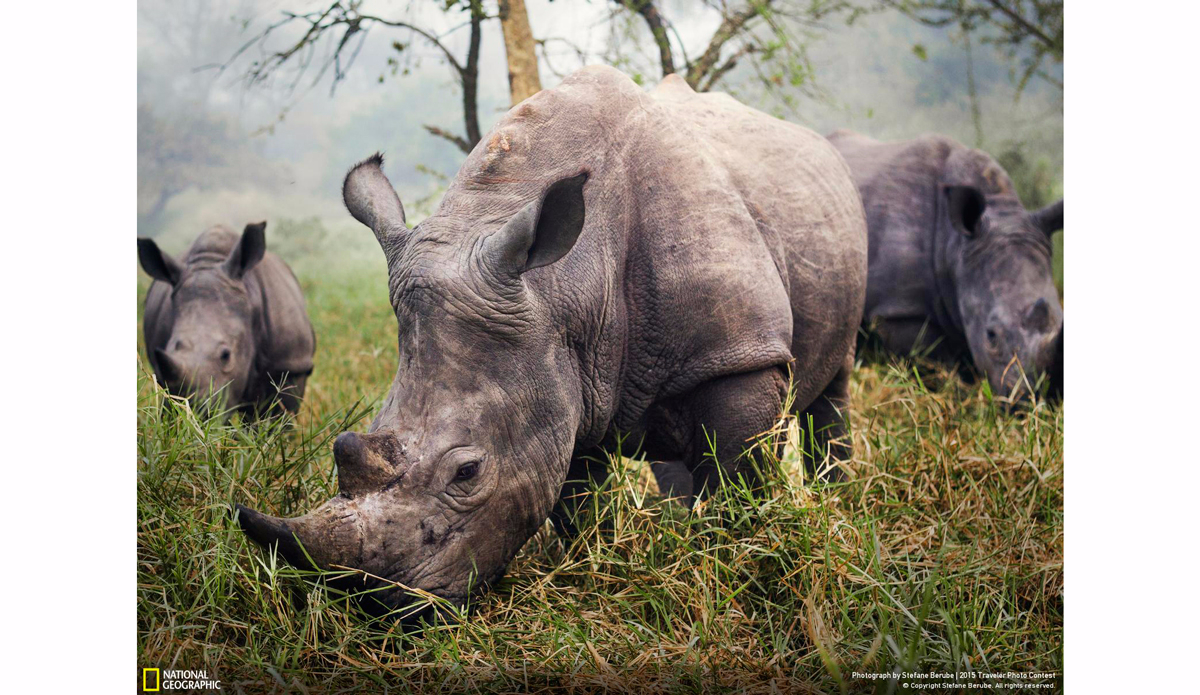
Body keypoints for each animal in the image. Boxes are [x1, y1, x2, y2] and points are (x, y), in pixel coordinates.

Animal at [236, 66, 867, 620]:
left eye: (467, 473)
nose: (382, 608)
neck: (564, 285)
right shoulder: (565, 373)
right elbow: (575, 501)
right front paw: (597, 569)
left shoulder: (739, 355)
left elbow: (735, 478)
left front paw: (730, 566)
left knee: (829, 388)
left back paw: (833, 503)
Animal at [827, 130, 1063, 400]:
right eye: (991, 335)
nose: (1036, 400)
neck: (956, 245)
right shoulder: (899, 309)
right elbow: (932, 363)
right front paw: (955, 397)